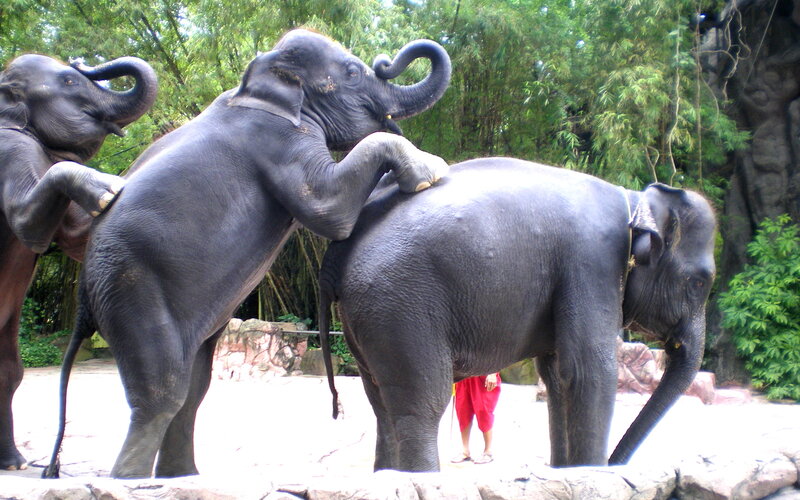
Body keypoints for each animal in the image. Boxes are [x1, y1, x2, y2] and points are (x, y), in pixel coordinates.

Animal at [0, 54, 157, 470]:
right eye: (70, 81)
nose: (79, 60)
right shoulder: (6, 148)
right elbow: (25, 223)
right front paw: (109, 189)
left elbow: (76, 236)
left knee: (9, 368)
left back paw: (15, 463)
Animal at [44, 29, 451, 479]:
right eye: (352, 72)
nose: (384, 61)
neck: (260, 76)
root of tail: (83, 294)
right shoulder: (279, 140)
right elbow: (328, 210)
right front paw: (431, 172)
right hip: (130, 284)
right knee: (161, 394)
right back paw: (135, 480)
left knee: (192, 389)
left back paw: (184, 477)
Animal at [318, 157, 716, 471]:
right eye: (700, 282)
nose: (615, 464)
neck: (634, 200)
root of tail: (340, 249)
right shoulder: (594, 263)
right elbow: (589, 371)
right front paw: (591, 474)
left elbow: (557, 375)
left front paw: (565, 473)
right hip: (401, 304)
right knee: (422, 406)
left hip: (369, 315)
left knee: (383, 407)